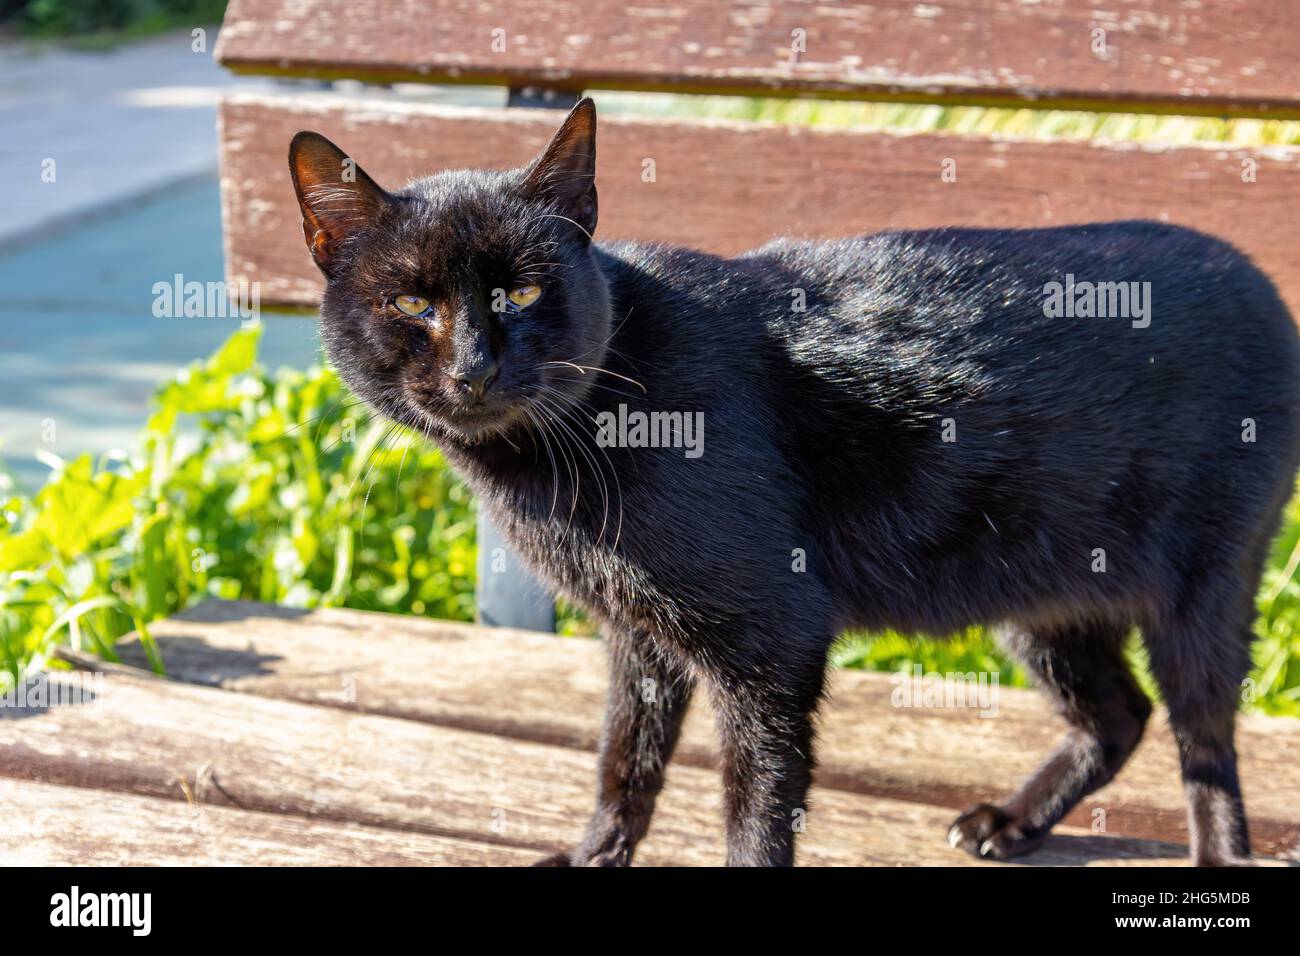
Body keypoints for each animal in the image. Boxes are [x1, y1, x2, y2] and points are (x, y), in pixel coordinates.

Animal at [289, 98, 1300, 868]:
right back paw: (1012, 823)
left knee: (1203, 741)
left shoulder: (770, 639)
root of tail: (1257, 275)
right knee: (1121, 714)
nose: (474, 368)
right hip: (1043, 596)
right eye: (411, 303)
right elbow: (625, 762)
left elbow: (757, 802)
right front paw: (594, 856)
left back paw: (1216, 856)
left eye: (523, 293)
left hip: (1204, 588)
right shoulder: (641, 635)